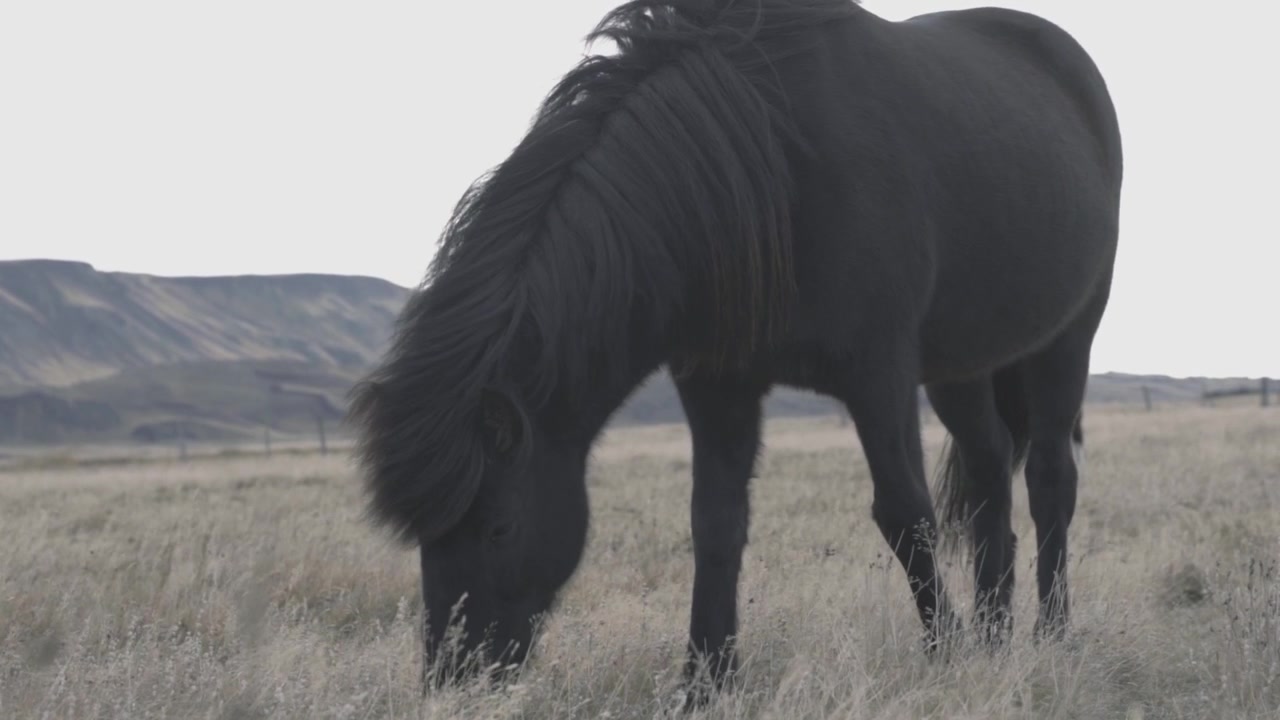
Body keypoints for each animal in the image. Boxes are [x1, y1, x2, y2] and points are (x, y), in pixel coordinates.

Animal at [349, 0, 1122, 696]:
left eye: (500, 528)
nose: (451, 680)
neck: (770, 159)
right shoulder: (719, 383)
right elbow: (715, 524)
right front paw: (706, 682)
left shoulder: (879, 375)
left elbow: (906, 515)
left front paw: (945, 656)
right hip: (963, 364)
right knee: (990, 465)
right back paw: (996, 634)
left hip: (1066, 342)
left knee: (1050, 478)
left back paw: (1051, 634)